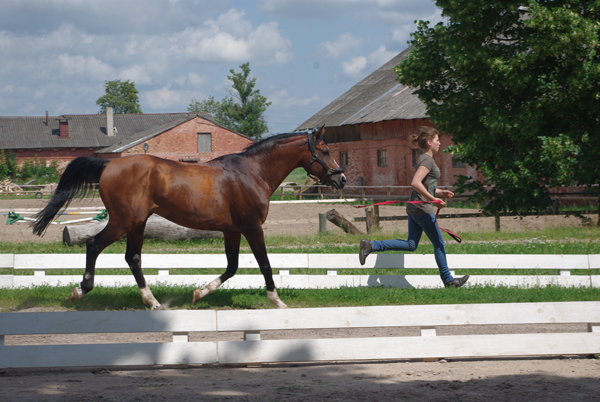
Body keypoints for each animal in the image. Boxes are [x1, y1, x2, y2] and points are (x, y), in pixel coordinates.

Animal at [32, 127, 346, 310]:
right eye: (325, 151)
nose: (341, 179)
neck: (252, 172)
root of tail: (109, 164)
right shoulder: (252, 227)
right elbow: (265, 264)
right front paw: (277, 301)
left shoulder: (232, 231)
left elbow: (232, 267)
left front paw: (198, 294)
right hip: (123, 221)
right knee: (94, 245)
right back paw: (81, 290)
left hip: (137, 223)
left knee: (133, 258)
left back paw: (153, 302)